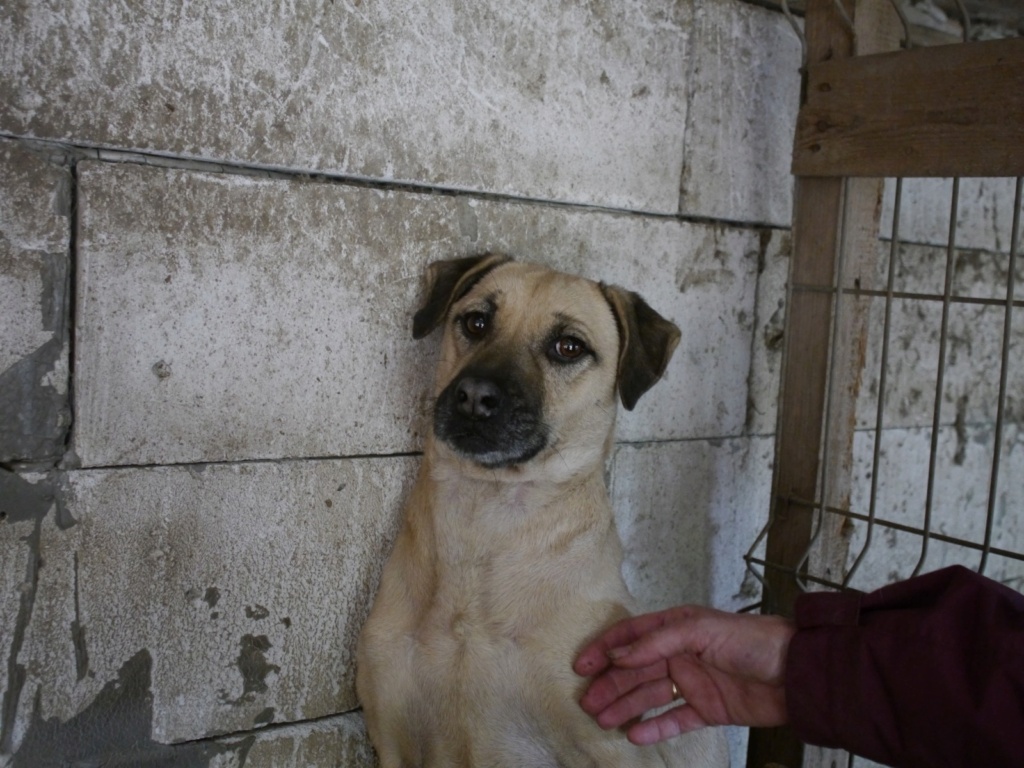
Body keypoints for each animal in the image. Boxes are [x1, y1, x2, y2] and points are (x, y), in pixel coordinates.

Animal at [356, 256, 724, 765]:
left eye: (568, 347)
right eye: (476, 322)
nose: (474, 396)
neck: (485, 518)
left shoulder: (615, 743)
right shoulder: (391, 736)